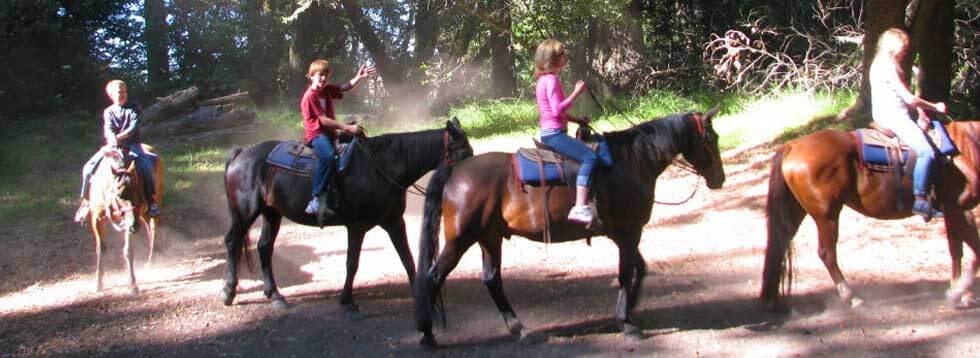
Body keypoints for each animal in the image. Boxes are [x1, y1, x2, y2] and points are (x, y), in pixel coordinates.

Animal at [86, 144, 165, 296]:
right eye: (119, 194)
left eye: (139, 193)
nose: (134, 227)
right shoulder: (97, 219)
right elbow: (101, 248)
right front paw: (98, 283)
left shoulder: (130, 220)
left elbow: (128, 251)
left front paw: (133, 286)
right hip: (142, 215)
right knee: (149, 228)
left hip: (153, 205)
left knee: (153, 228)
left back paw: (151, 262)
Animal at [220, 119, 472, 314]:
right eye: (462, 152)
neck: (382, 167)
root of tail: (242, 154)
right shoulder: (357, 226)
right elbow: (352, 262)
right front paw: (347, 300)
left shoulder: (393, 221)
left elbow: (407, 258)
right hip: (245, 213)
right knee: (233, 242)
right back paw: (229, 292)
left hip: (272, 213)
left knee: (264, 247)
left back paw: (275, 295)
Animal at [414, 110, 728, 346]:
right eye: (710, 138)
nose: (719, 179)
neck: (630, 163)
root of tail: (455, 170)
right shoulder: (629, 232)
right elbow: (625, 273)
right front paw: (626, 321)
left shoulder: (623, 234)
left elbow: (639, 269)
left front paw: (631, 308)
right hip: (460, 240)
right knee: (433, 277)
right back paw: (427, 333)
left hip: (489, 237)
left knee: (491, 279)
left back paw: (519, 329)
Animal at [760, 119, 980, 310]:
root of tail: (792, 145)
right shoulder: (959, 210)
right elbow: (975, 252)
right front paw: (959, 293)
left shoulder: (953, 212)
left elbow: (956, 251)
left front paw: (961, 292)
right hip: (827, 215)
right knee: (827, 253)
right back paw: (852, 297)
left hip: (796, 211)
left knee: (779, 245)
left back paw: (773, 300)